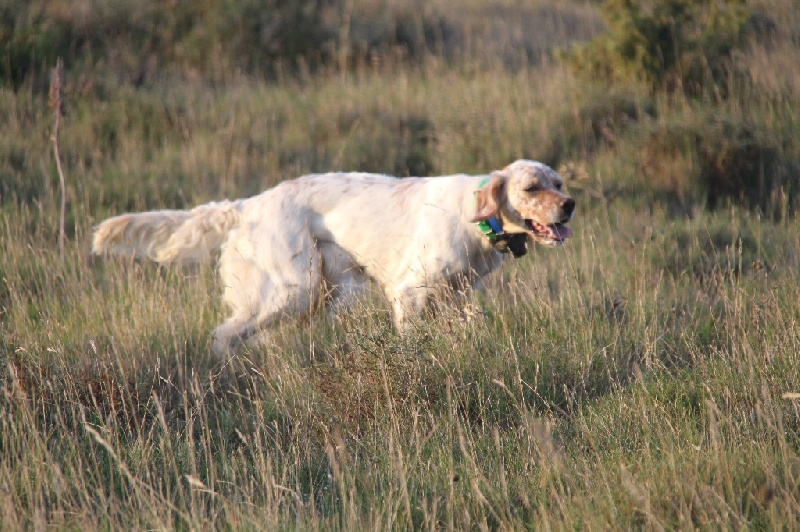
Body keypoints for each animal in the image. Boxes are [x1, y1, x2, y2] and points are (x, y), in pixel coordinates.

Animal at [94, 160, 576, 356]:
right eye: (532, 187)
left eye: (559, 182)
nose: (570, 204)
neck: (477, 218)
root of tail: (249, 204)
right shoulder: (410, 293)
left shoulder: (456, 297)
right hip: (294, 290)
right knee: (223, 335)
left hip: (324, 291)